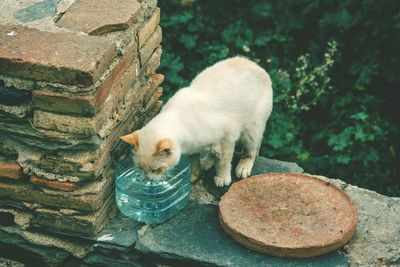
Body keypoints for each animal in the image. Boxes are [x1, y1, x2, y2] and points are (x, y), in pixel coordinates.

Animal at [120, 55, 274, 187]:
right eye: (141, 169)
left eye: (156, 170)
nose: (148, 179)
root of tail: (254, 64)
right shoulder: (193, 149)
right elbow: (195, 164)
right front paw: (193, 177)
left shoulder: (227, 138)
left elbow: (223, 163)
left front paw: (222, 178)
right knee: (213, 153)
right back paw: (206, 162)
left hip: (251, 130)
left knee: (251, 150)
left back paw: (242, 168)